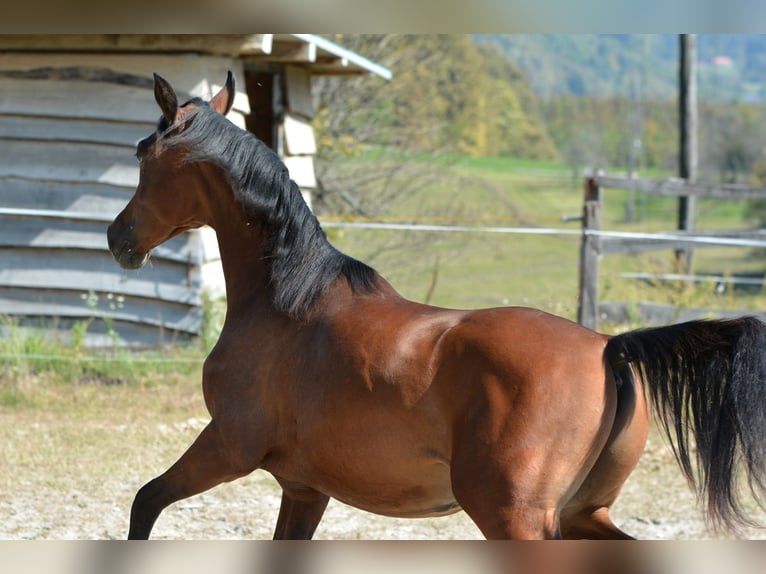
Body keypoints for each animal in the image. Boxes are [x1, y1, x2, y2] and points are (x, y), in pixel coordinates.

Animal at [106, 72, 766, 540]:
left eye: (142, 157)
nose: (118, 238)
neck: (284, 301)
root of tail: (610, 348)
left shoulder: (227, 445)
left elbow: (144, 502)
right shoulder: (303, 489)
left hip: (514, 519)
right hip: (583, 516)